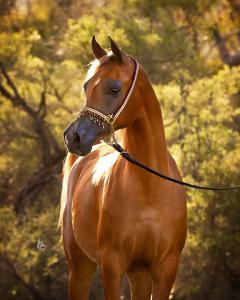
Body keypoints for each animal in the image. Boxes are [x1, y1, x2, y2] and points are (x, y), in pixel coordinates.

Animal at [60, 37, 188, 300]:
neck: (149, 189)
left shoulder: (166, 269)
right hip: (79, 267)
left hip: (139, 276)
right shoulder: (112, 264)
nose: (73, 137)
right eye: (86, 86)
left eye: (114, 88)